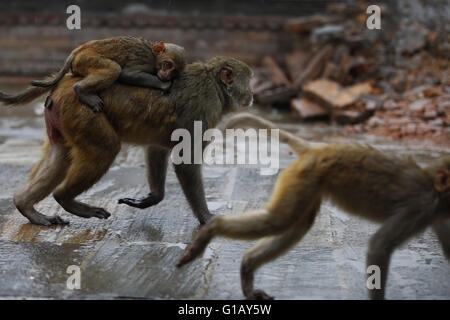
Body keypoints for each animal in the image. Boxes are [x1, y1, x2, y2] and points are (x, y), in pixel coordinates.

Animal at [0, 58, 251, 228]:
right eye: (249, 80)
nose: (251, 94)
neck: (215, 86)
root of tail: (67, 82)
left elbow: (157, 148)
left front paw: (152, 198)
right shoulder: (204, 108)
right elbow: (185, 160)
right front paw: (207, 219)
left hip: (62, 117)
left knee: (60, 155)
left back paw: (26, 206)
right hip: (83, 111)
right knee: (106, 149)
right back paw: (65, 198)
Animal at [30, 35, 185, 111]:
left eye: (174, 71)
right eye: (167, 65)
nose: (166, 75)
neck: (154, 55)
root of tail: (78, 50)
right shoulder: (145, 60)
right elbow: (126, 74)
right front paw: (164, 84)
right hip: (86, 58)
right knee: (114, 69)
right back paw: (81, 90)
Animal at [179, 112, 450, 300]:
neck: (433, 186)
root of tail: (318, 148)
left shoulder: (437, 212)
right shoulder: (420, 208)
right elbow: (379, 247)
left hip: (306, 180)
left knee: (297, 223)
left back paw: (247, 265)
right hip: (305, 175)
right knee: (280, 220)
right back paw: (213, 229)